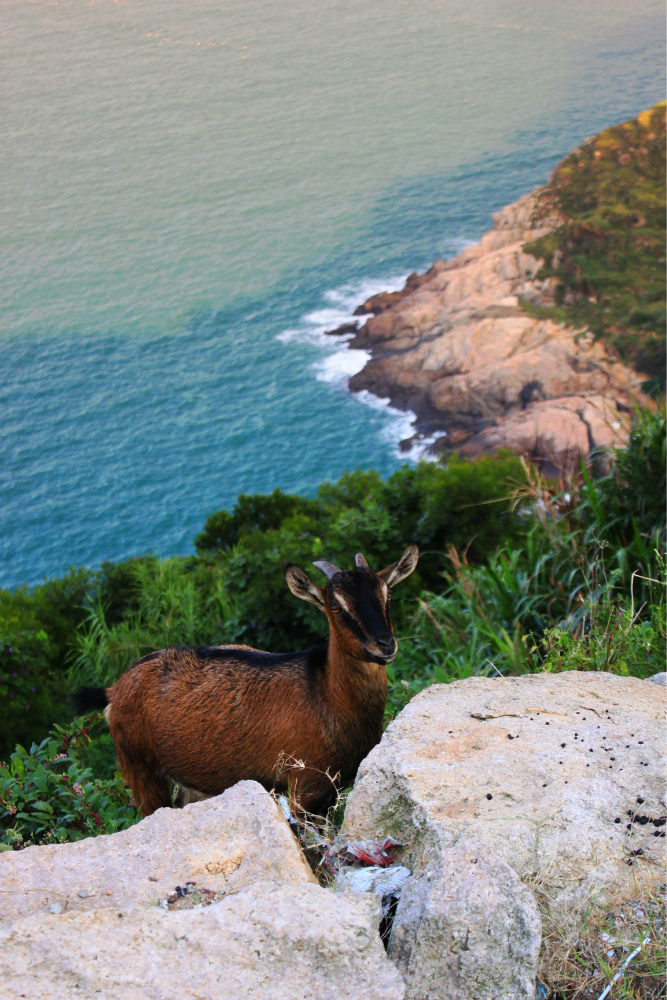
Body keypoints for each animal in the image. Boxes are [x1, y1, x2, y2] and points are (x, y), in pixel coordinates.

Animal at [74, 544, 418, 816]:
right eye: (336, 606)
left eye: (387, 595)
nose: (385, 645)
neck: (326, 696)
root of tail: (113, 690)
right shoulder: (305, 787)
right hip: (139, 767)